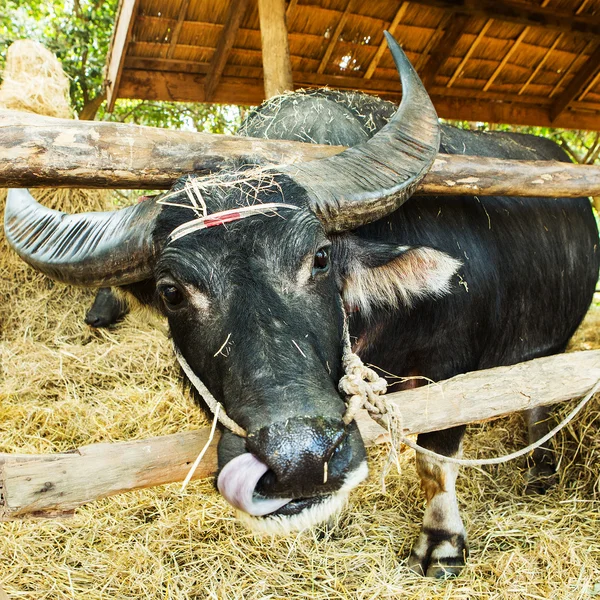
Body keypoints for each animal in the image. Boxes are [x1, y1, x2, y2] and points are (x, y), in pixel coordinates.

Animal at [3, 34, 596, 576]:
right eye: (171, 292)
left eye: (320, 258)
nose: (300, 462)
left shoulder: (451, 371)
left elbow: (435, 461)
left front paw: (442, 545)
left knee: (539, 395)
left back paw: (540, 468)